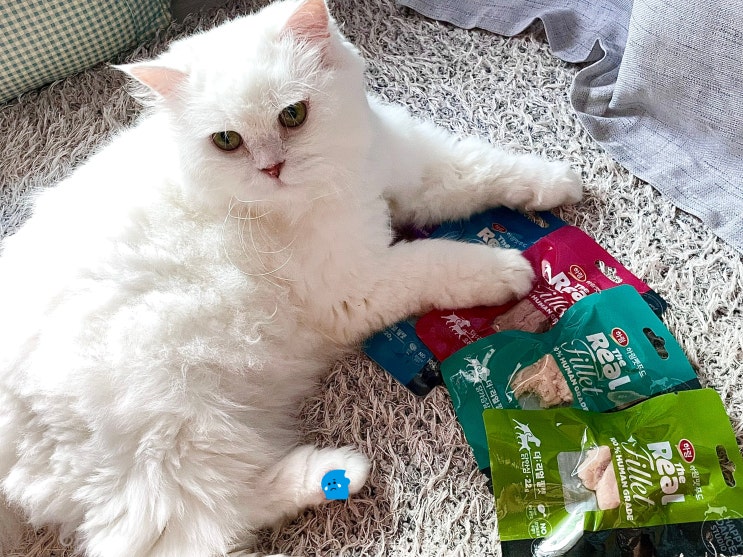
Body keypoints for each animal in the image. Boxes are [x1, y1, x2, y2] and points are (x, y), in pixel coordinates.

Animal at [0, 0, 581, 555]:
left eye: (293, 115)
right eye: (228, 141)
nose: (271, 168)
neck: (333, 186)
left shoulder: (409, 165)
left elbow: (483, 169)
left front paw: (560, 180)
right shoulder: (359, 283)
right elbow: (439, 259)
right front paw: (509, 269)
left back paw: (335, 475)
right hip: (176, 436)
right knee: (194, 532)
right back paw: (336, 473)